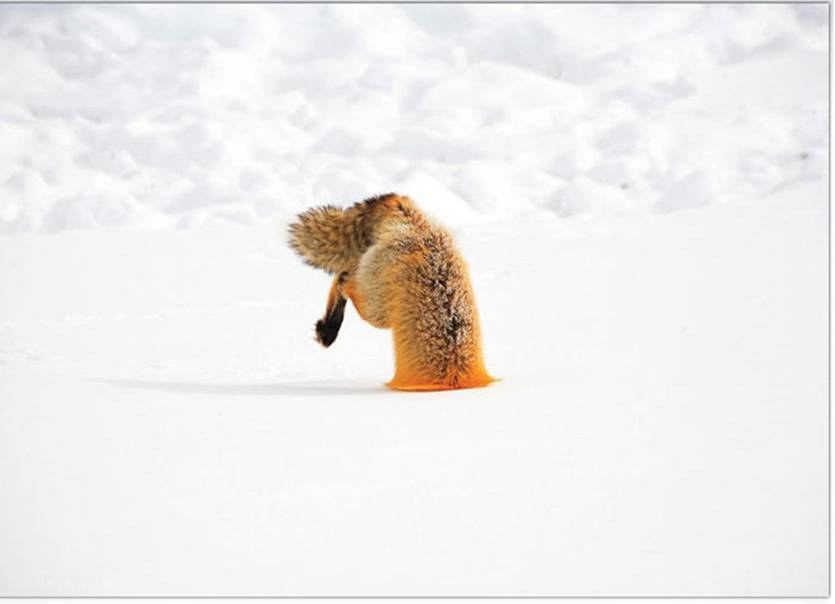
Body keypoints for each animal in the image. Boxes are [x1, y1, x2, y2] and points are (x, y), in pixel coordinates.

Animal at [287, 193, 494, 391]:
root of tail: (408, 216)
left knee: (344, 276)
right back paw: (329, 328)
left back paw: (328, 328)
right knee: (343, 280)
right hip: (378, 310)